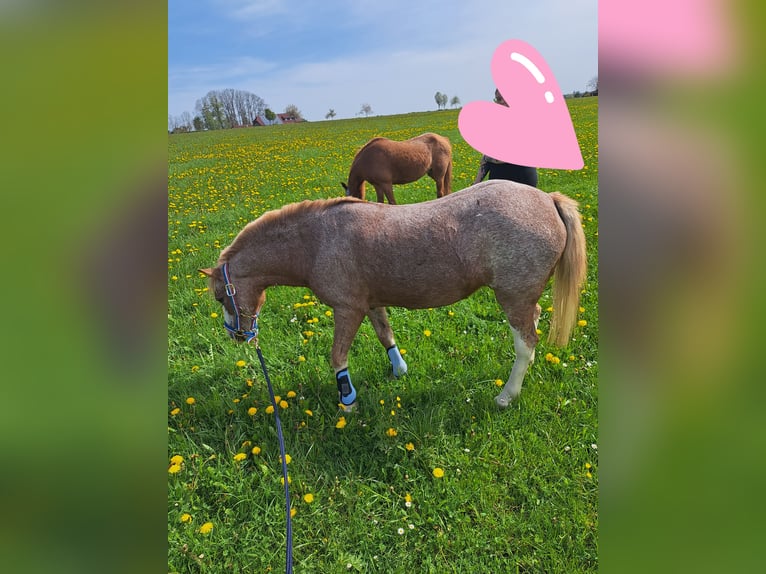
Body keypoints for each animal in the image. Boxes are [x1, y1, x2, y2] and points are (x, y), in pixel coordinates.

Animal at [202, 180, 588, 410]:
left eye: (221, 298)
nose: (237, 335)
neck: (317, 241)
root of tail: (548, 200)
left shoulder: (347, 309)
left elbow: (337, 357)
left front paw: (348, 400)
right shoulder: (370, 303)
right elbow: (385, 334)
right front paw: (398, 369)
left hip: (513, 297)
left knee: (525, 341)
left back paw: (507, 394)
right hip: (524, 297)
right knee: (533, 327)